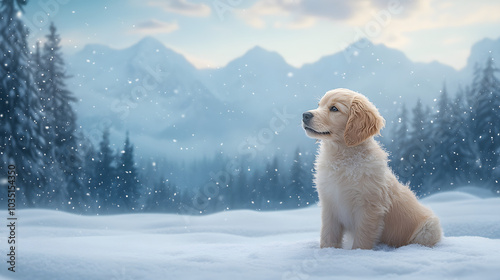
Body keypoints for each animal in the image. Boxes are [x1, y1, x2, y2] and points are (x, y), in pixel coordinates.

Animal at [300, 88, 442, 249]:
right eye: (319, 105)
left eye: (334, 109)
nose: (305, 115)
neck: (342, 156)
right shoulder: (330, 204)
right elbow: (328, 235)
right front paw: (328, 251)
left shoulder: (369, 207)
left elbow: (362, 238)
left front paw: (358, 252)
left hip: (429, 229)